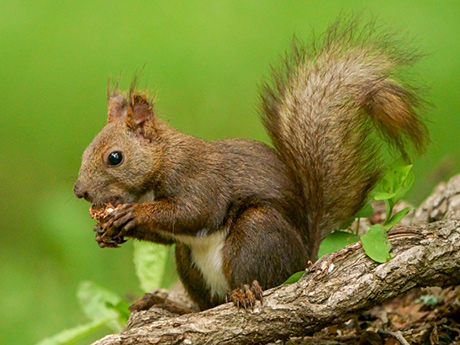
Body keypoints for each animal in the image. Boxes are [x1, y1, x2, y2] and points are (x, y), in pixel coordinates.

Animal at [73, 18, 430, 310]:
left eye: (115, 157)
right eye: (86, 149)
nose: (79, 191)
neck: (161, 162)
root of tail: (306, 256)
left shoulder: (199, 179)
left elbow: (194, 212)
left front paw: (132, 215)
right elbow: (169, 235)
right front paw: (104, 233)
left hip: (256, 233)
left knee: (261, 278)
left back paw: (244, 292)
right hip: (190, 264)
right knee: (206, 305)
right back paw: (171, 306)